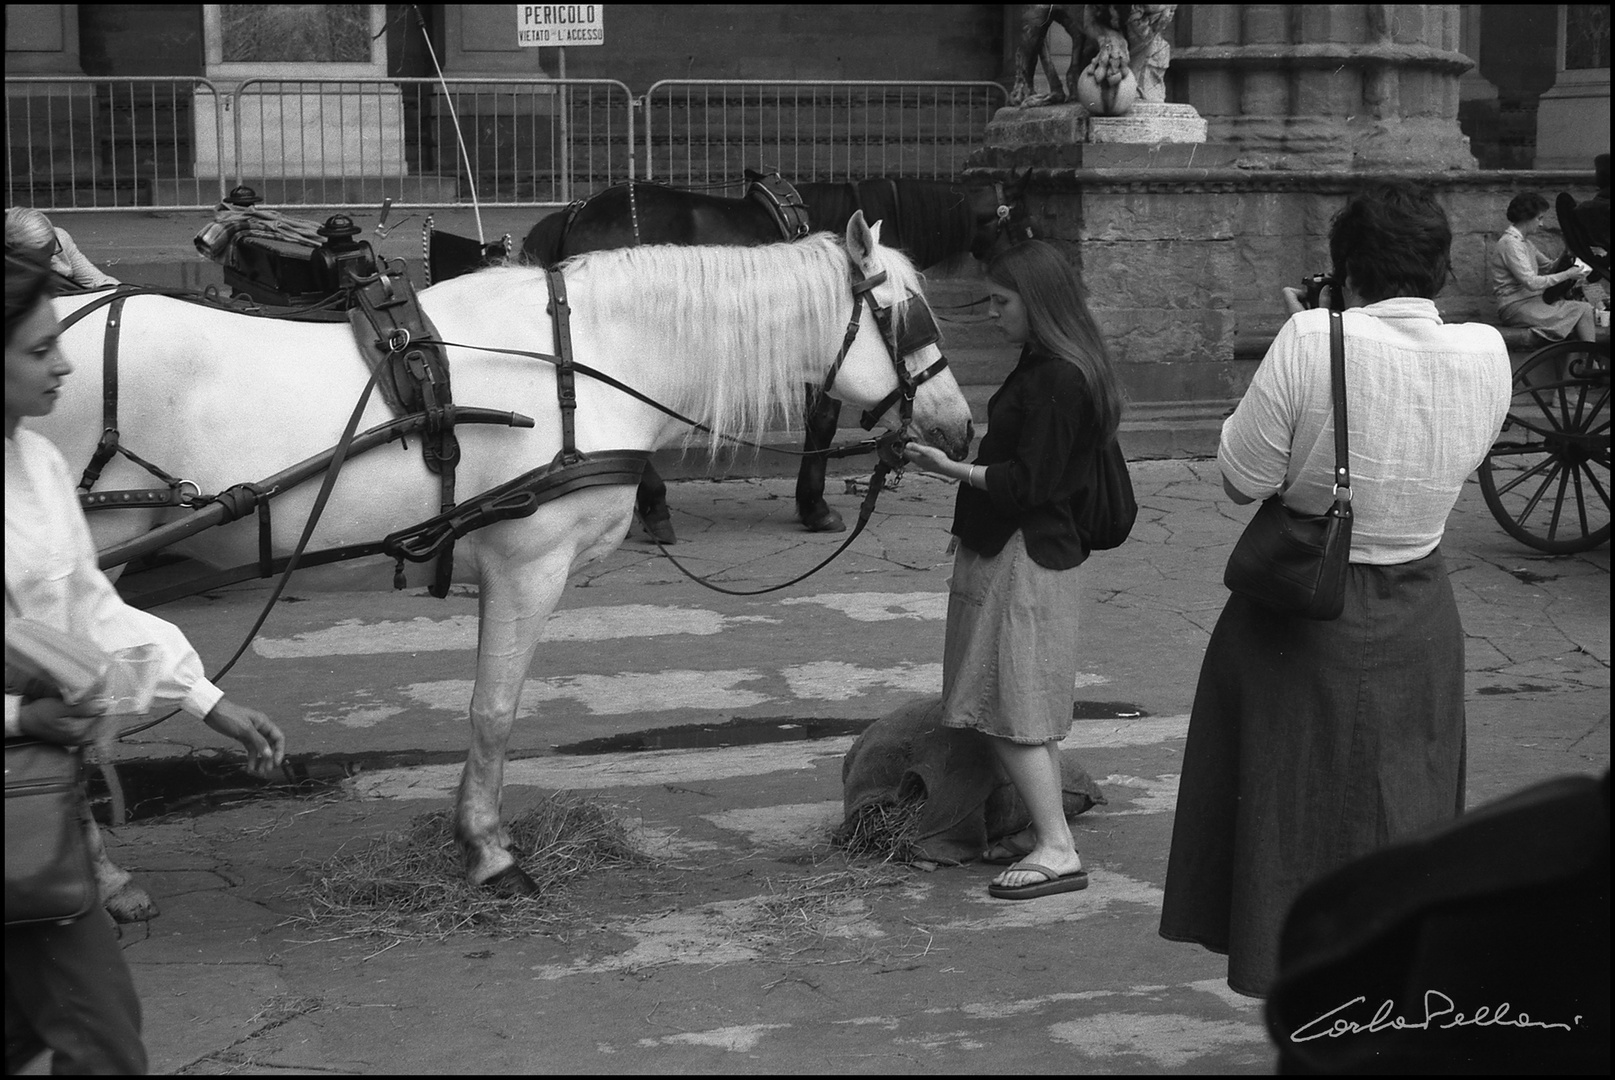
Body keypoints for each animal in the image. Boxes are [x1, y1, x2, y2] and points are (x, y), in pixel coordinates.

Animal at [37, 213, 969, 891]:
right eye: (910, 317)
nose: (960, 426)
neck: (584, 360)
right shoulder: (530, 563)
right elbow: (494, 711)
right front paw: (487, 851)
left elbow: (489, 708)